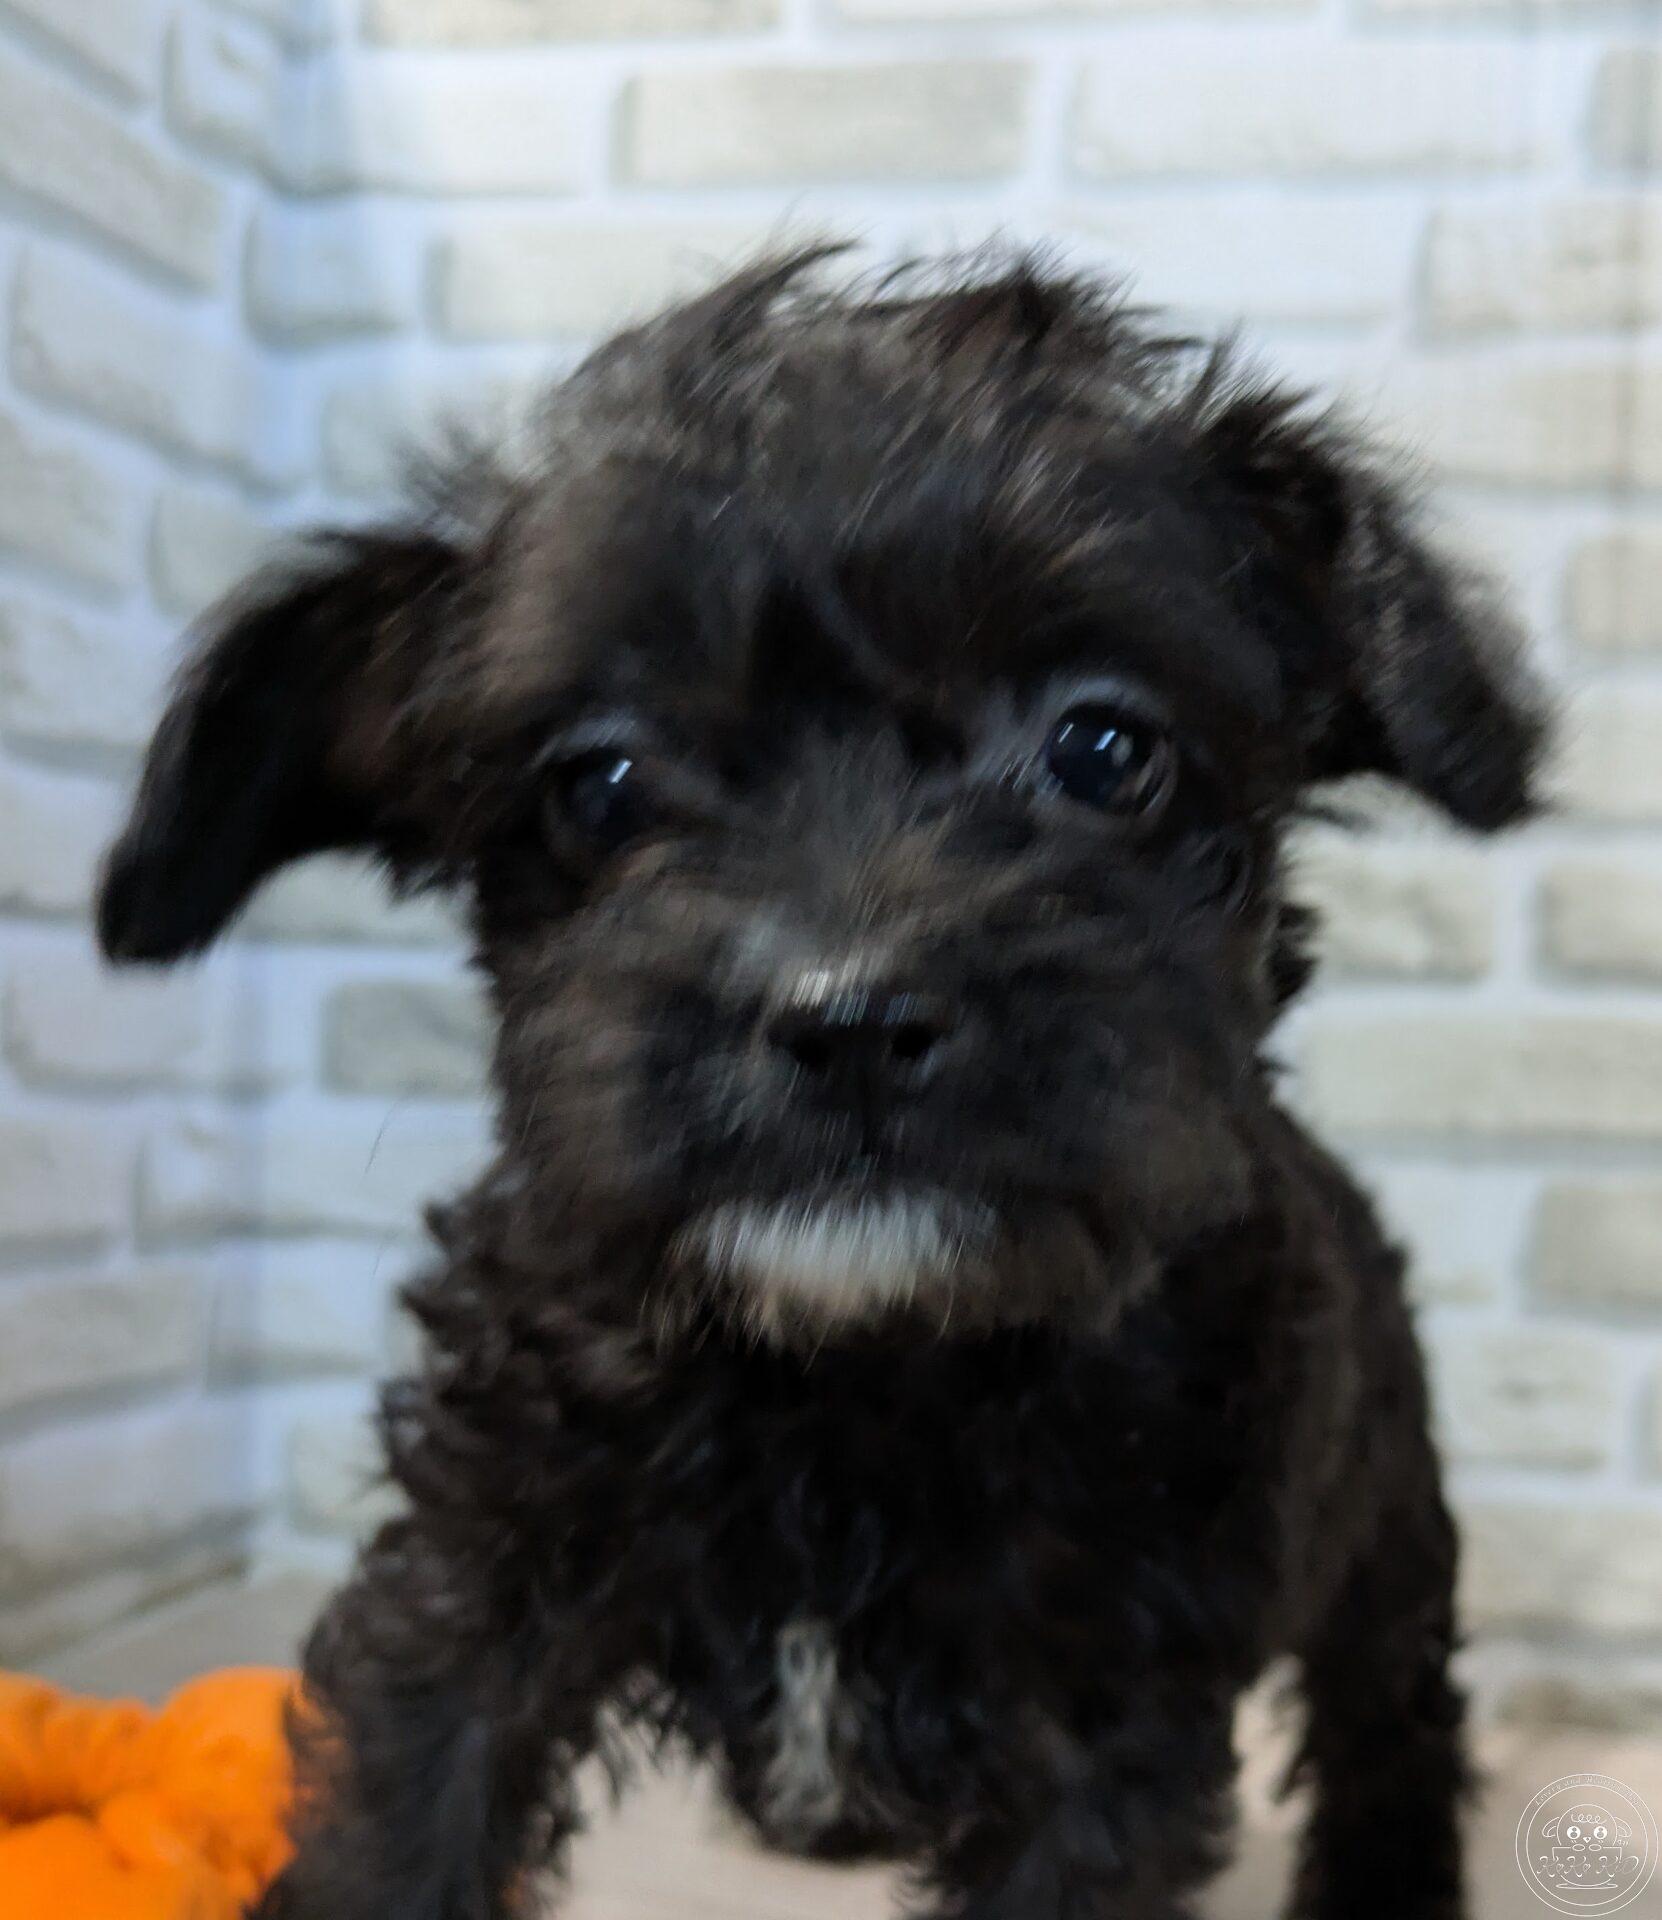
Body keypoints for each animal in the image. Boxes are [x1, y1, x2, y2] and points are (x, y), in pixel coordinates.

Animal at [98, 249, 1544, 1920]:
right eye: (597, 782)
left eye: (1102, 748)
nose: (845, 1019)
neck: (849, 1369)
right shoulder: (475, 1583)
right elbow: (404, 1815)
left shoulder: (1100, 1719)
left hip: (1388, 1523)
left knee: (1396, 1712)